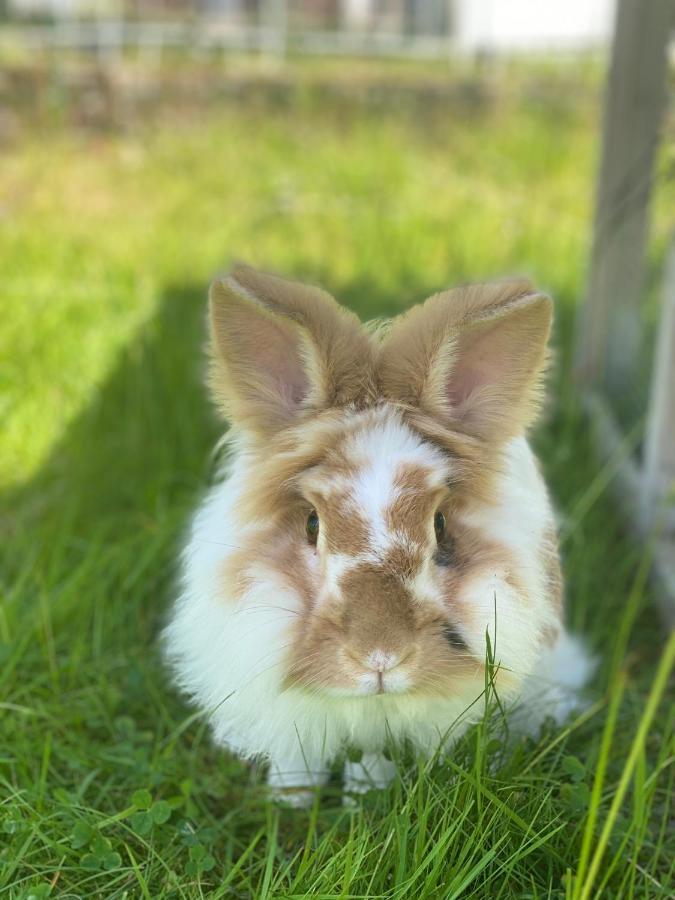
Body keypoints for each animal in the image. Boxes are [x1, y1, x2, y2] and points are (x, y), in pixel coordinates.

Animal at [166, 264, 596, 804]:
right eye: (312, 523)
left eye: (439, 524)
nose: (380, 659)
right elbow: (296, 754)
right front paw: (289, 800)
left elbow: (371, 756)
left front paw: (362, 799)